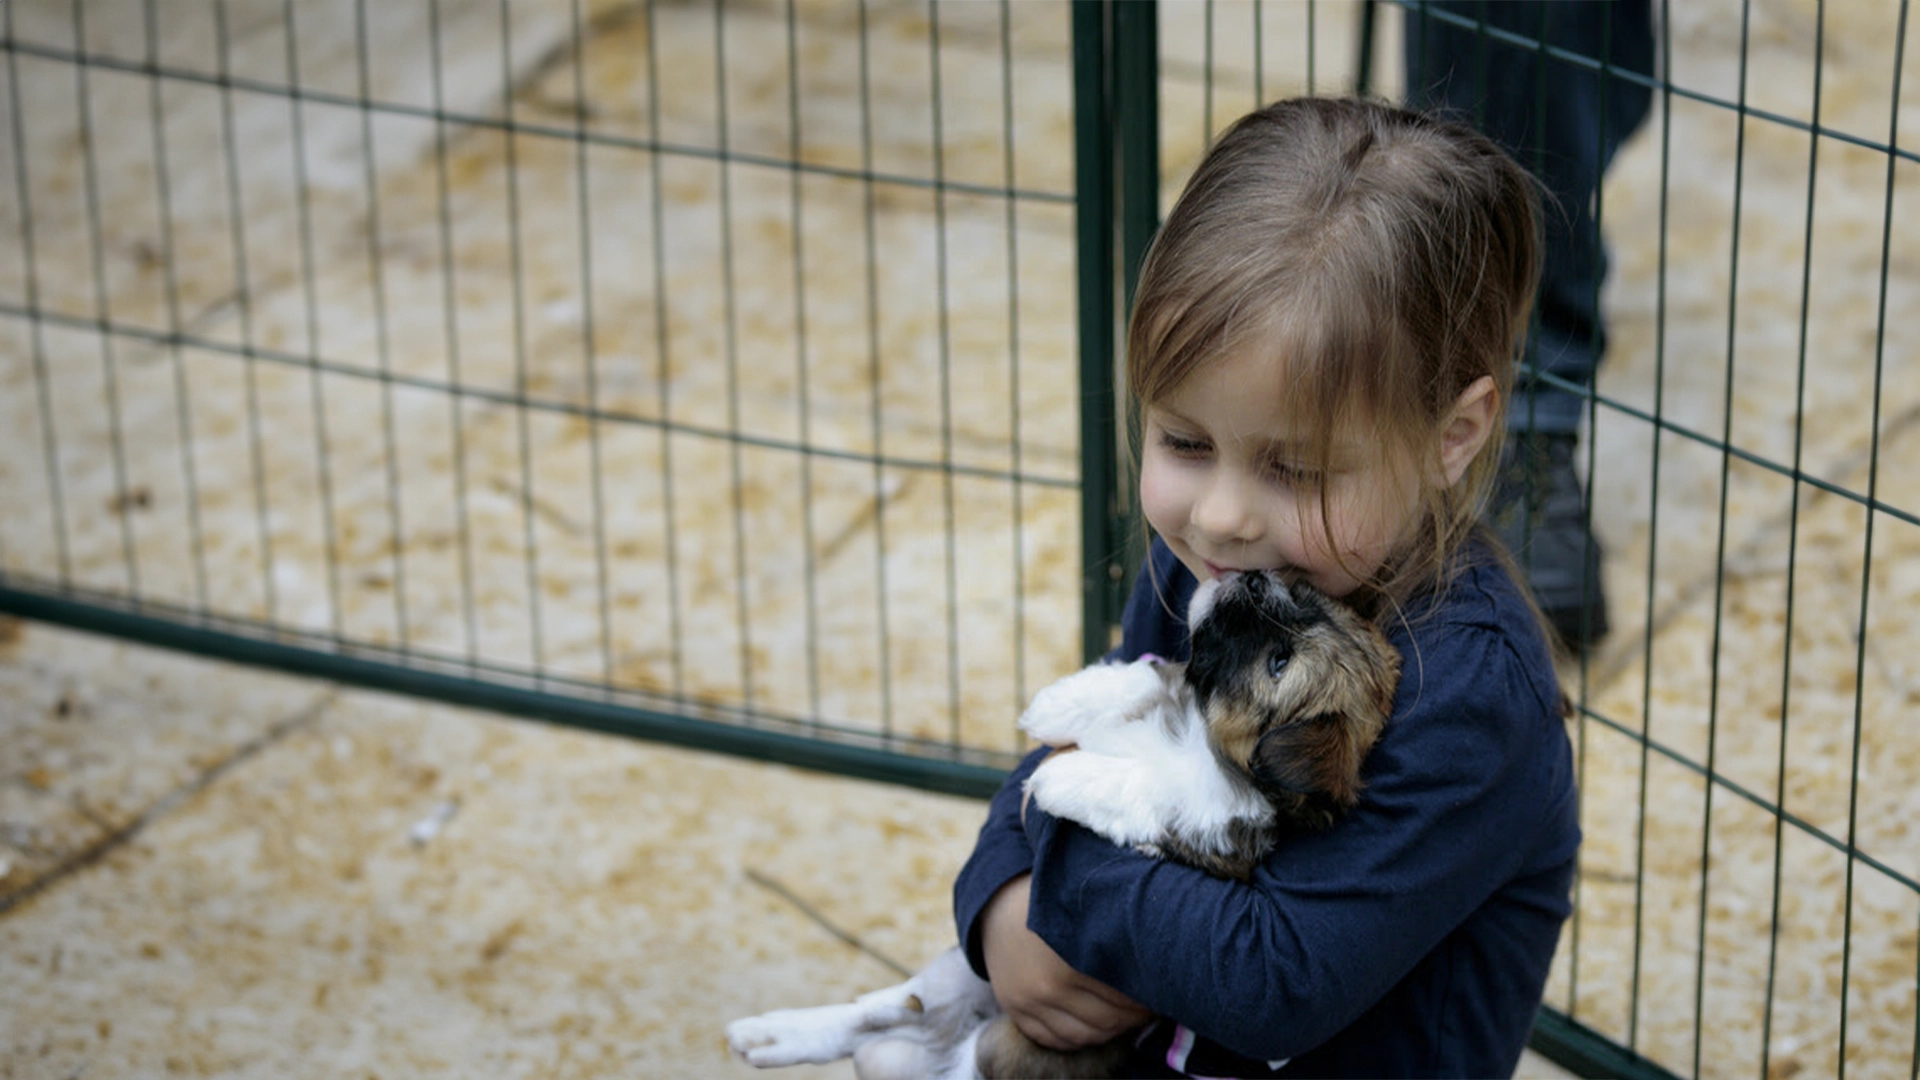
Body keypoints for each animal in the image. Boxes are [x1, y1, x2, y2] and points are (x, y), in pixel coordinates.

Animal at [725, 568, 1405, 1068]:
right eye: (1301, 599)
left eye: (1279, 661)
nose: (1258, 579)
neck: (1200, 740)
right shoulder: (1166, 687)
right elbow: (1144, 675)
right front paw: (1061, 702)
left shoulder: (1211, 832)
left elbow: (1144, 786)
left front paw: (1062, 775)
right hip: (962, 971)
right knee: (884, 1007)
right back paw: (772, 1034)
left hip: (992, 1044)